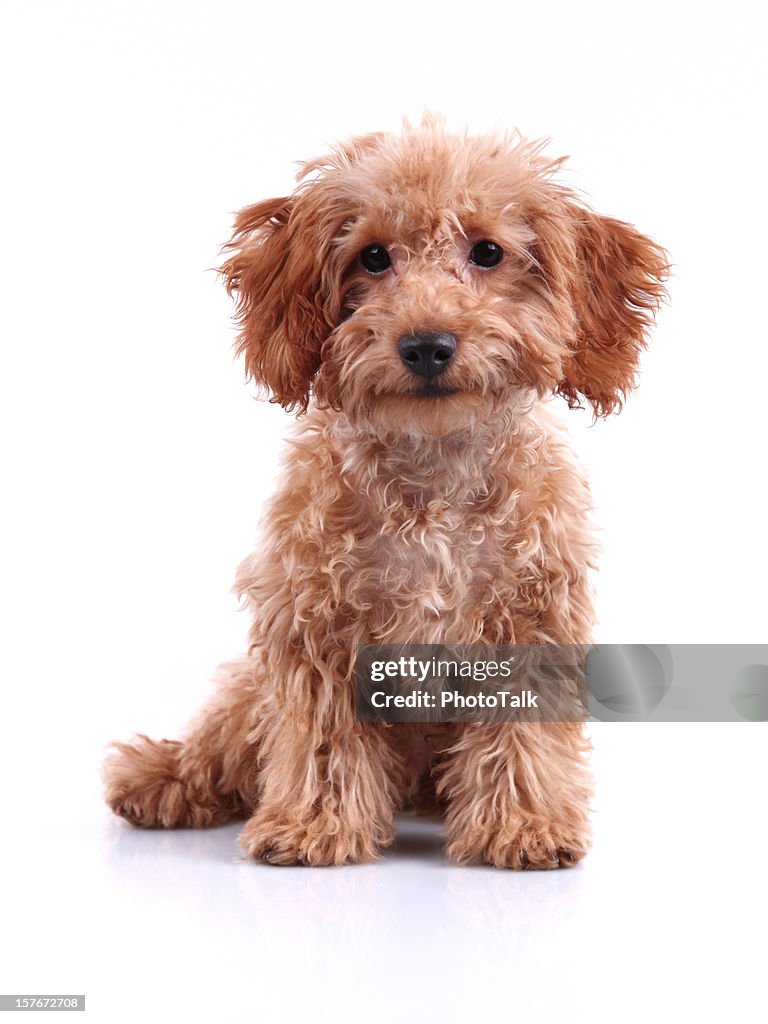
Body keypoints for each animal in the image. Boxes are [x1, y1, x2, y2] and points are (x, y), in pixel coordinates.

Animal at [105, 121, 671, 872]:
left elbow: (520, 737)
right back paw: (160, 777)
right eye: (373, 257)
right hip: (246, 690)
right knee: (220, 743)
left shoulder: (529, 621)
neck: (431, 473)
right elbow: (323, 737)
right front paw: (311, 828)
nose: (426, 345)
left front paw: (525, 826)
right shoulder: (315, 623)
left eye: (487, 252)